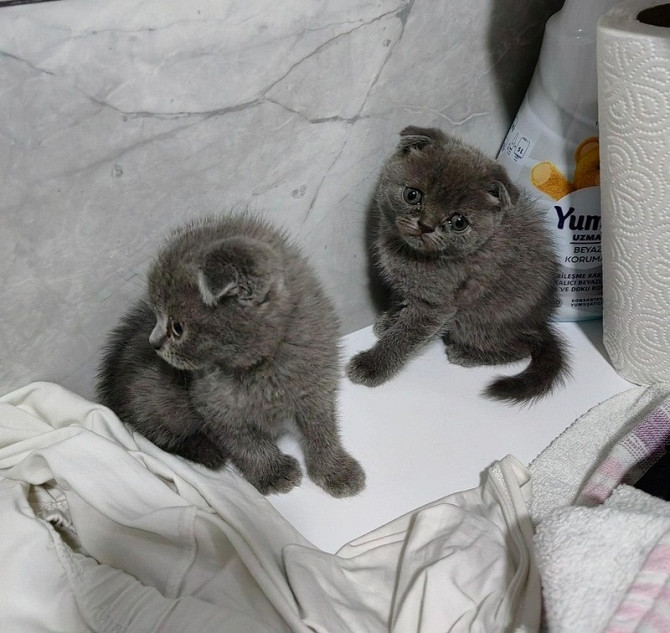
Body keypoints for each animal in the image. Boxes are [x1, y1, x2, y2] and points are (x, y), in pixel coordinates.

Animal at [97, 210, 364, 496]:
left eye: (177, 328)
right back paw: (206, 451)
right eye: (157, 314)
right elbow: (245, 444)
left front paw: (335, 470)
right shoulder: (213, 406)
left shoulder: (317, 386)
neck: (261, 369)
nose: (153, 343)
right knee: (157, 435)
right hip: (151, 400)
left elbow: (322, 430)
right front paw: (273, 473)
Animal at [346, 126, 572, 402]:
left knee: (523, 346)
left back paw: (467, 354)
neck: (411, 254)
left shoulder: (436, 305)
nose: (425, 225)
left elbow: (406, 335)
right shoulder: (408, 286)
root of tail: (541, 323)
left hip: (478, 321)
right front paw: (391, 320)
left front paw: (372, 364)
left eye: (459, 222)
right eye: (412, 195)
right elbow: (403, 304)